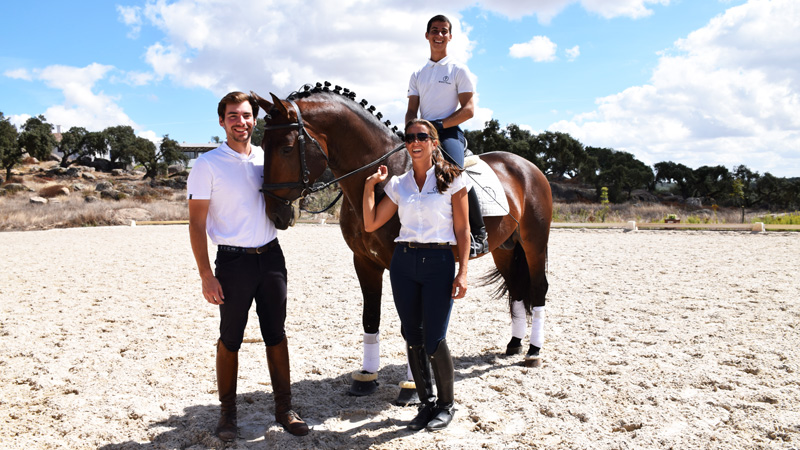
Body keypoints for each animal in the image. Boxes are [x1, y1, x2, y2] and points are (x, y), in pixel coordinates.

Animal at [253, 82, 552, 401]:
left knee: (538, 288)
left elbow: (413, 326)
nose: (275, 213)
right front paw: (366, 376)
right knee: (517, 289)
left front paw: (411, 387)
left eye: (286, 148)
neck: (378, 180)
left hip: (534, 242)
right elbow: (371, 317)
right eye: (262, 146)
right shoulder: (365, 262)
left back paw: (533, 351)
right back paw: (514, 344)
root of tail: (527, 166)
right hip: (504, 249)